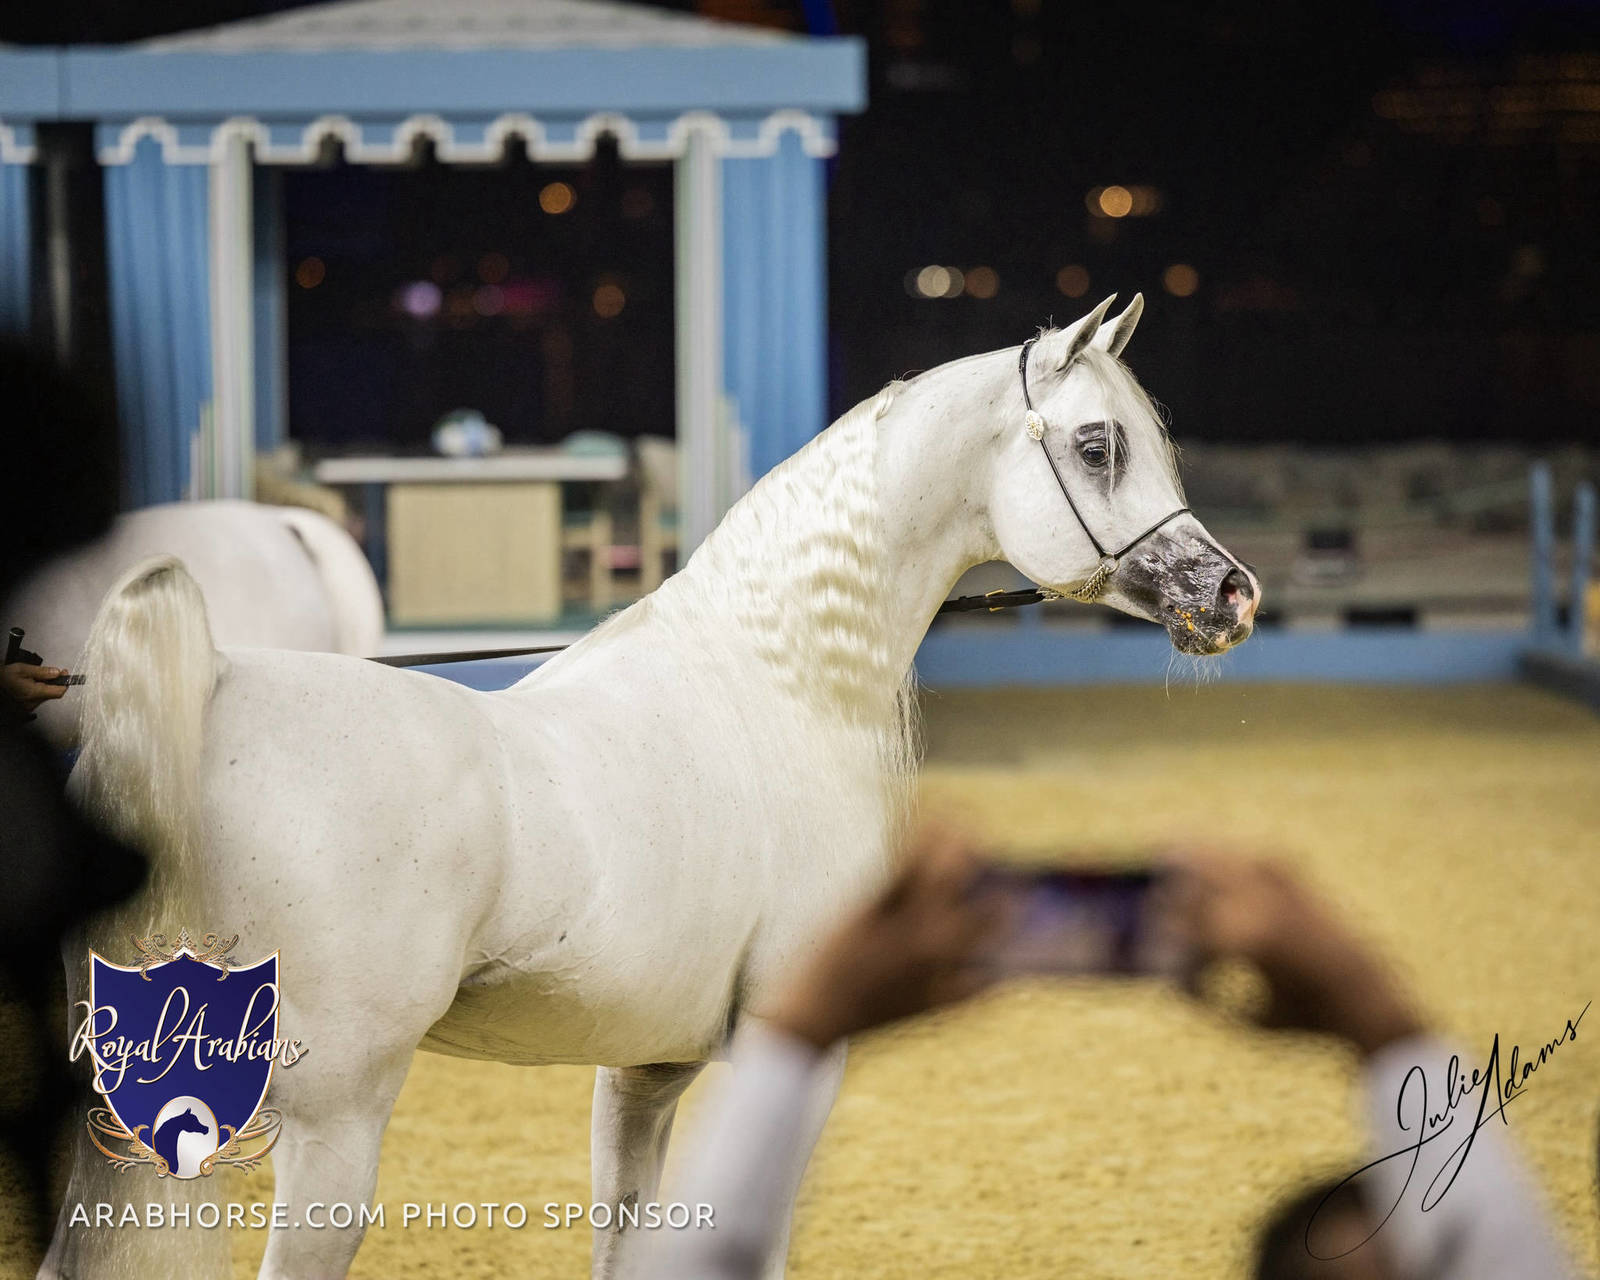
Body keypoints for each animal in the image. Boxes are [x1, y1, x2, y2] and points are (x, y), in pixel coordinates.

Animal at [43, 296, 1260, 1280]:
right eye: (1099, 444)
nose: (1231, 594)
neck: (777, 682)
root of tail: (213, 684)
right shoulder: (783, 1048)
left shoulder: (643, 1071)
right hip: (333, 1115)